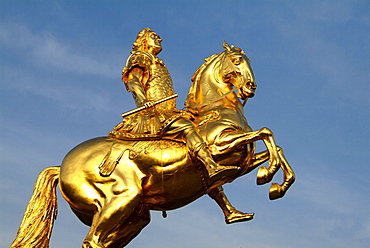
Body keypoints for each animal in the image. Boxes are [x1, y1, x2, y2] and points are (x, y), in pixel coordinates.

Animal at [10, 41, 294, 247]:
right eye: (237, 61)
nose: (251, 86)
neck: (215, 110)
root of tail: (62, 167)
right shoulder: (220, 147)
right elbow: (265, 133)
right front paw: (269, 176)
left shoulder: (243, 161)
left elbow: (274, 147)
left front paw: (274, 183)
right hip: (122, 199)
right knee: (92, 241)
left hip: (134, 216)